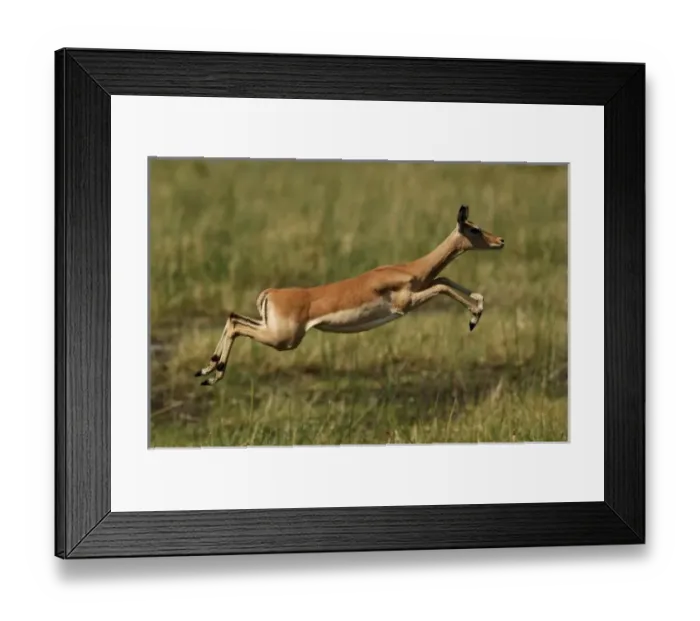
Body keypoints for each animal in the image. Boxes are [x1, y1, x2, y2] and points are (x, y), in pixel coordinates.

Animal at [195, 205, 505, 386]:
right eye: (474, 228)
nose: (501, 240)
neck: (409, 269)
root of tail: (271, 292)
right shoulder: (405, 305)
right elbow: (442, 286)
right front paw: (474, 318)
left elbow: (446, 279)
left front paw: (477, 309)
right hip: (283, 340)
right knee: (236, 324)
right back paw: (212, 373)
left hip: (271, 329)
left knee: (233, 319)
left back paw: (209, 371)